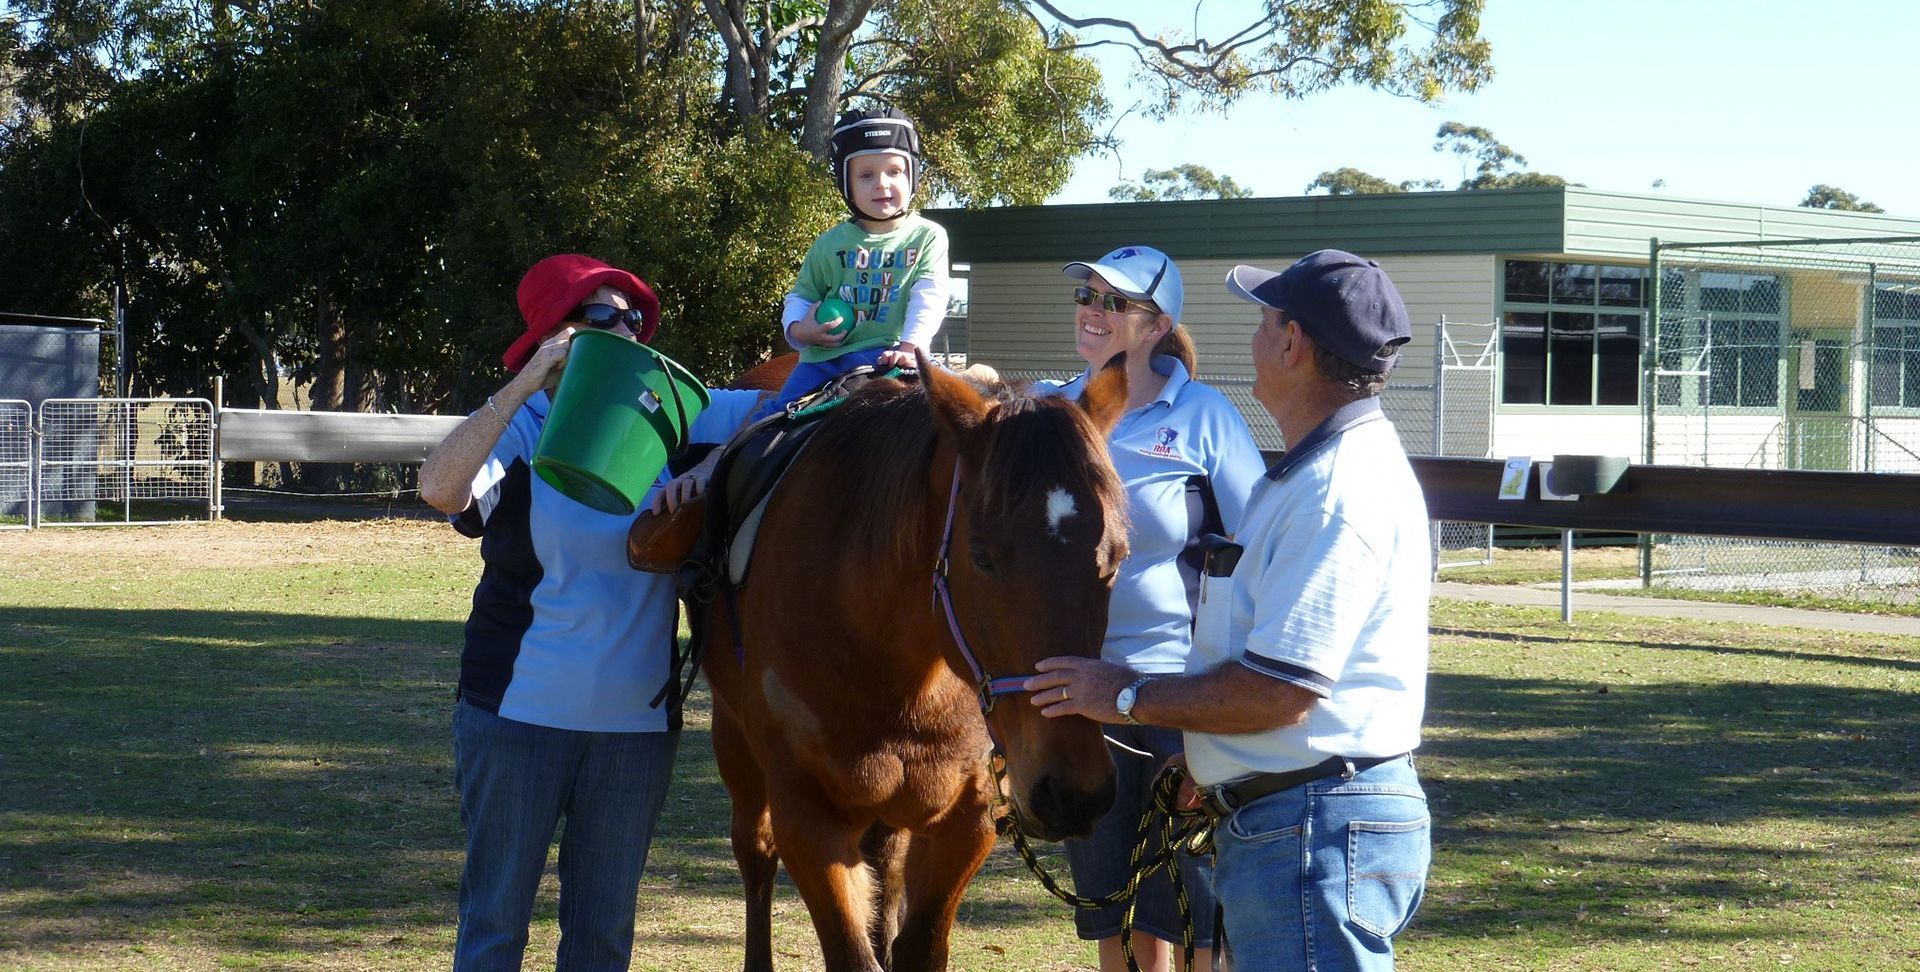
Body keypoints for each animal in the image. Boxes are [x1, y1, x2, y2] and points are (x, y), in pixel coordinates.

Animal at [700, 352, 1134, 972]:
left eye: (1117, 556)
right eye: (981, 557)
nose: (1074, 792)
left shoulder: (969, 816)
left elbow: (918, 945)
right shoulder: (806, 816)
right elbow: (851, 953)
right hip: (734, 740)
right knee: (755, 853)